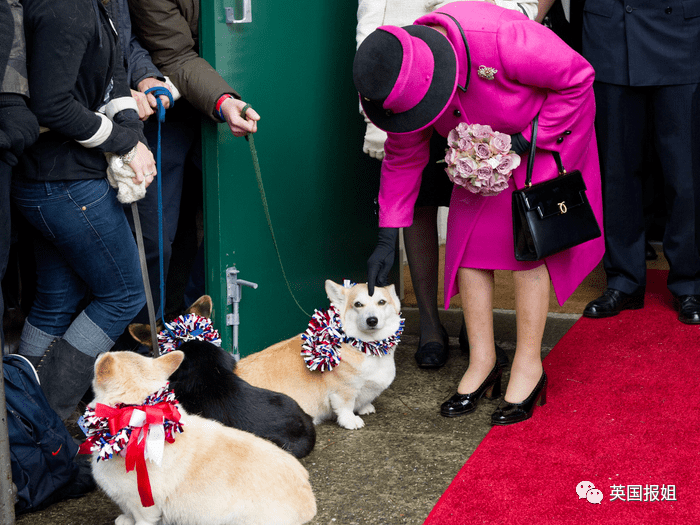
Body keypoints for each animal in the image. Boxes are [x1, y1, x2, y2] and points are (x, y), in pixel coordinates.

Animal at [235, 280, 402, 428]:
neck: (368, 345)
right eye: (358, 304)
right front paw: (351, 421)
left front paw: (365, 408)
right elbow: (345, 407)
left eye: (382, 302)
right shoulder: (342, 391)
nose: (372, 320)